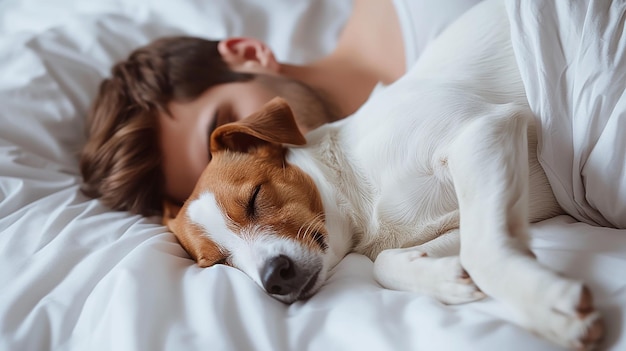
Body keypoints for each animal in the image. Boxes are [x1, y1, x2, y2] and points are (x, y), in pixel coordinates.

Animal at [163, 0, 604, 350]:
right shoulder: (491, 201)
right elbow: (389, 264)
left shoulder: (482, 132)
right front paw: (442, 277)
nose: (273, 279)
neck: (356, 191)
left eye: (254, 198)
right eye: (218, 262)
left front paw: (546, 307)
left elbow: (484, 250)